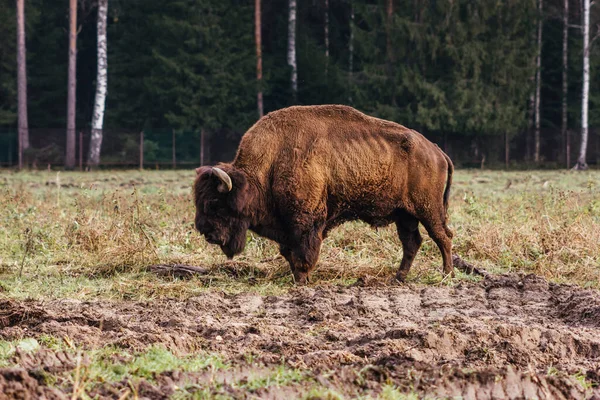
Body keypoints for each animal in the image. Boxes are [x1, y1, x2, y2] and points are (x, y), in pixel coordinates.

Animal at [195, 104, 452, 282]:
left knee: (442, 237)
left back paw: (446, 275)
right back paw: (398, 278)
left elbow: (303, 252)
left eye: (215, 203)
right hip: (404, 215)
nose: (205, 232)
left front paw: (302, 279)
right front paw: (300, 277)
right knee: (412, 243)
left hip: (428, 209)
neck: (270, 163)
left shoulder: (305, 221)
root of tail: (436, 151)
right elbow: (289, 251)